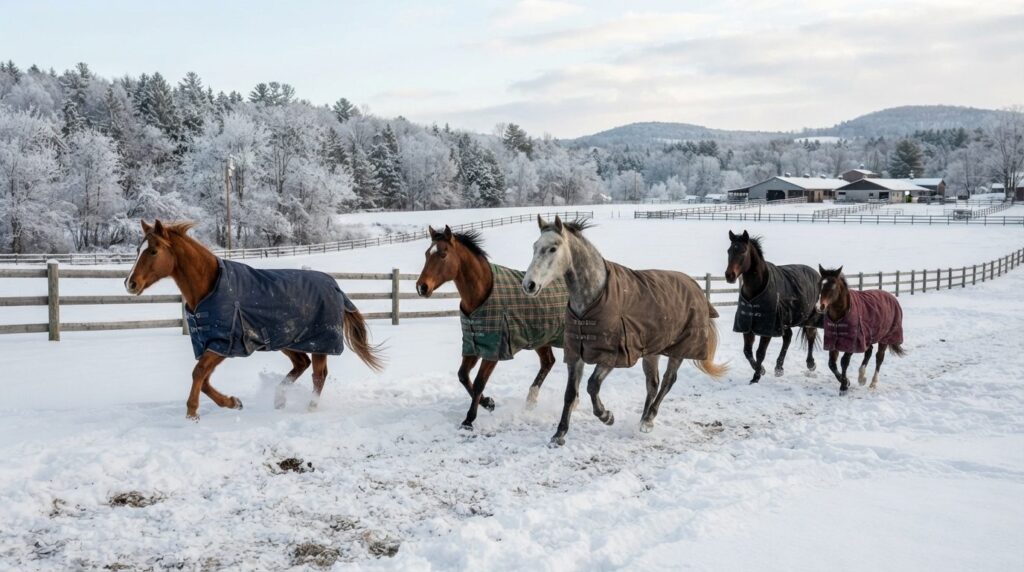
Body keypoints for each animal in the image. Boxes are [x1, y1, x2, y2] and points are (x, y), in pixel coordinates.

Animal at [124, 219, 384, 420]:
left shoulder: (222, 344)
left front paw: (192, 414)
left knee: (318, 375)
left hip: (319, 343)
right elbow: (204, 380)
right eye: (138, 250)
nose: (130, 283)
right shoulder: (212, 345)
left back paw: (309, 408)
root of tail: (336, 287)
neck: (209, 288)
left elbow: (198, 373)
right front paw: (233, 402)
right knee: (302, 364)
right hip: (285, 340)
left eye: (153, 251)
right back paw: (279, 399)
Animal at [415, 225, 567, 430]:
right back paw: (530, 401)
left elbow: (479, 381)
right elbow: (463, 376)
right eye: (426, 253)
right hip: (540, 339)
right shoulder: (473, 345)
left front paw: (469, 419)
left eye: (443, 254)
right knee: (548, 362)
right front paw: (488, 403)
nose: (421, 287)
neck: (481, 294)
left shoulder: (494, 350)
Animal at [522, 215, 727, 446]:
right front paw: (559, 434)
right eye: (535, 246)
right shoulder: (576, 354)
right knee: (653, 383)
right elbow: (570, 393)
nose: (529, 285)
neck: (593, 298)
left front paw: (606, 416)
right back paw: (642, 420)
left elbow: (592, 385)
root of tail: (697, 289)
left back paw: (648, 420)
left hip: (679, 350)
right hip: (652, 351)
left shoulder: (612, 355)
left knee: (668, 381)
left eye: (553, 248)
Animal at [725, 230, 821, 384]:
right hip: (785, 321)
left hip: (809, 317)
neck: (755, 292)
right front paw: (761, 370)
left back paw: (810, 364)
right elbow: (747, 351)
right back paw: (779, 368)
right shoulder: (748, 326)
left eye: (743, 251)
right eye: (729, 250)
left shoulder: (767, 328)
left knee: (811, 336)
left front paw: (756, 377)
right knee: (788, 338)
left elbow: (760, 353)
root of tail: (816, 274)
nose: (729, 276)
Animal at [817, 266, 906, 394]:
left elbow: (844, 362)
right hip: (868, 337)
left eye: (833, 286)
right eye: (820, 284)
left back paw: (873, 383)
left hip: (884, 338)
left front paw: (844, 386)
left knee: (879, 358)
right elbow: (831, 364)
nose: (820, 307)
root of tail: (892, 297)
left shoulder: (852, 342)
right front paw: (846, 382)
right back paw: (861, 378)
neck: (840, 317)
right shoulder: (833, 341)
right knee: (869, 352)